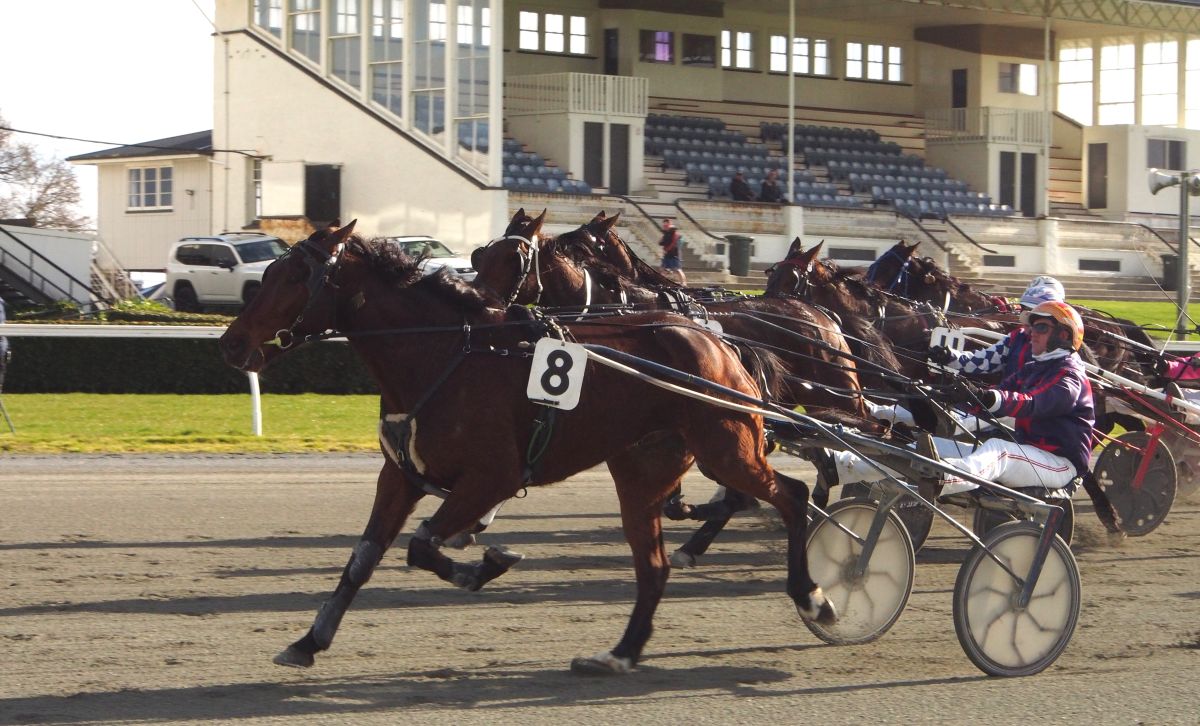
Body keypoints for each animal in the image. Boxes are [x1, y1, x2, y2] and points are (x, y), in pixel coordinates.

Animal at [218, 221, 835, 674]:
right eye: (268, 270)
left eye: (293, 277)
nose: (231, 342)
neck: (444, 354)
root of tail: (718, 340)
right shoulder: (400, 476)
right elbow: (361, 560)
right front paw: (308, 641)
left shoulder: (491, 476)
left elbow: (422, 545)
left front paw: (487, 565)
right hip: (643, 470)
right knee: (655, 564)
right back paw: (620, 653)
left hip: (727, 447)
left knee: (792, 494)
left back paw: (813, 595)